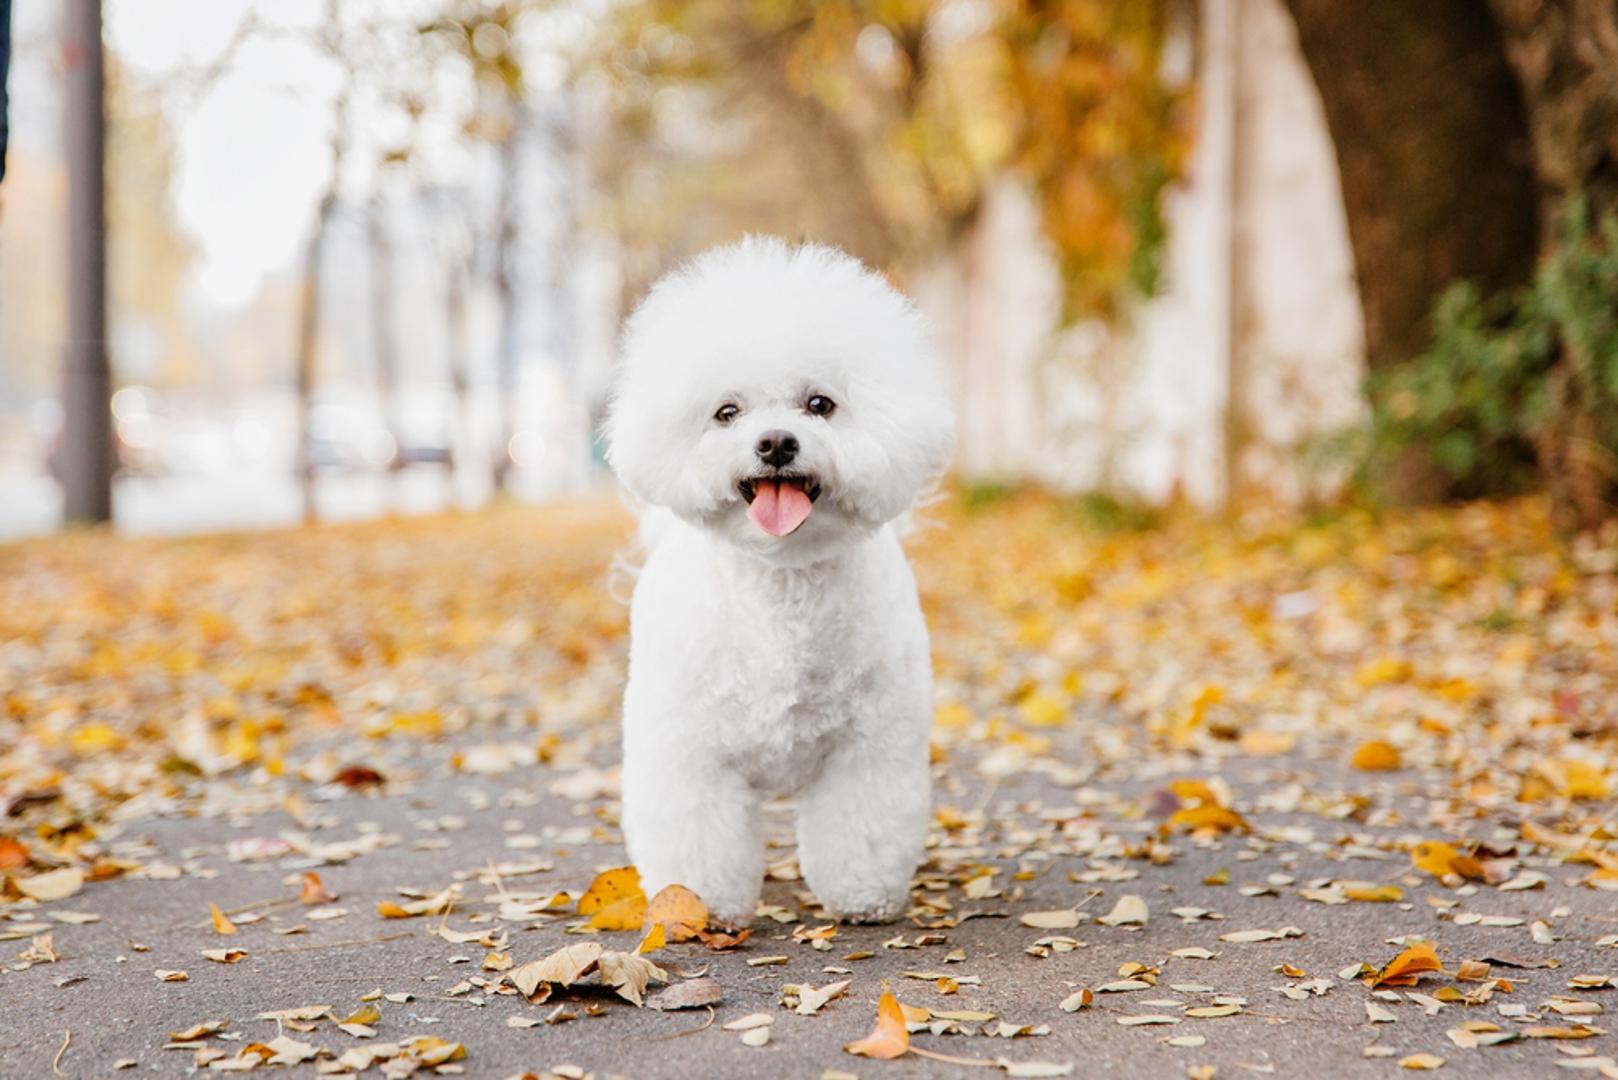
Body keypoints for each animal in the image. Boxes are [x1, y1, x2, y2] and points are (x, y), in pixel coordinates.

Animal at [608, 241, 957, 926]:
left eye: (819, 404)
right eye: (726, 412)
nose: (774, 443)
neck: (783, 583)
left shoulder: (868, 748)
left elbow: (862, 827)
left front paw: (863, 897)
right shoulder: (691, 754)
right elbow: (696, 835)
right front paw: (700, 905)